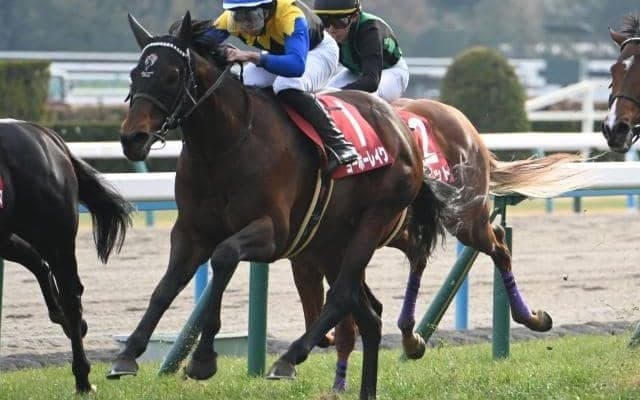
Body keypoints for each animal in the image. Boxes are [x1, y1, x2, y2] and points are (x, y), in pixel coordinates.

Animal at [0, 119, 131, 393]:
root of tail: (43, 133)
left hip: (54, 235)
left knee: (71, 296)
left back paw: (83, 379)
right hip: (7, 235)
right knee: (38, 263)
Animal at [292, 98, 589, 391]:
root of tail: (461, 120)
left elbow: (344, 315)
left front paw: (335, 380)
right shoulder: (308, 259)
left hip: (464, 221)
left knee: (498, 244)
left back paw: (531, 317)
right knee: (422, 256)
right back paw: (410, 338)